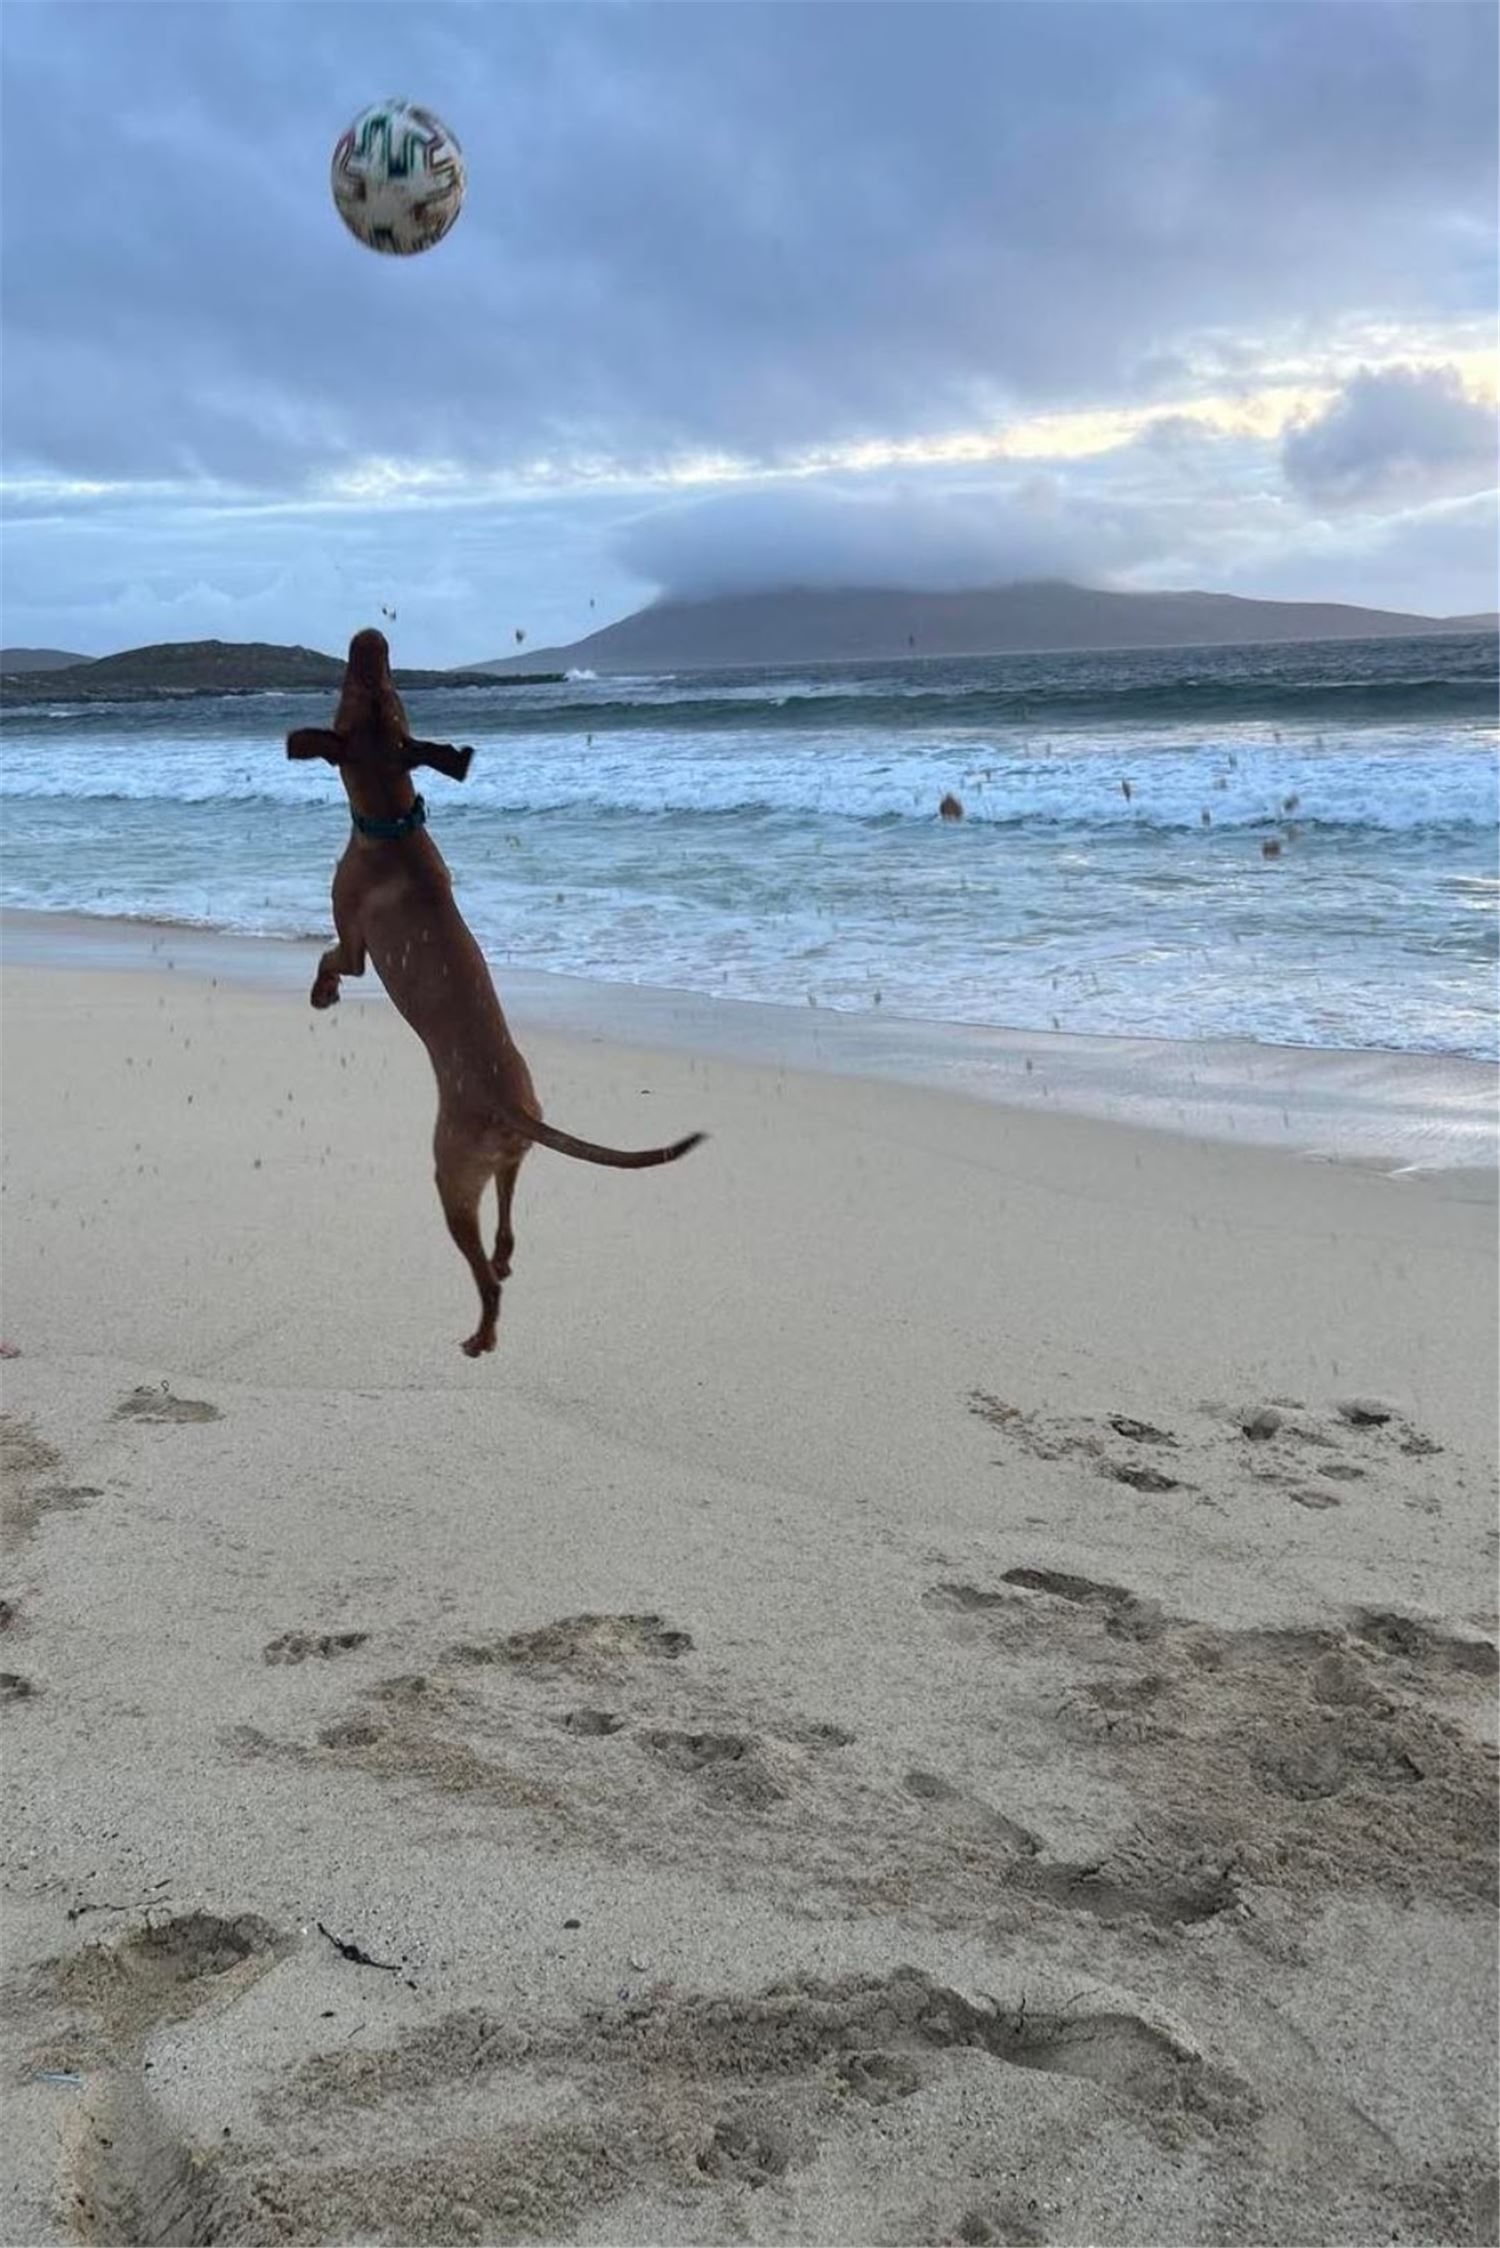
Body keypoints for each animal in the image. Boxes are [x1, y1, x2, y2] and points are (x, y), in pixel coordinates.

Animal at [290, 624, 706, 1348]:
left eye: (360, 694)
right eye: (385, 694)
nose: (371, 636)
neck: (394, 825)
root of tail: (511, 1110)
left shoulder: (355, 941)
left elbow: (329, 957)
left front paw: (323, 993)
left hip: (450, 1175)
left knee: (484, 1274)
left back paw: (481, 1334)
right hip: (508, 1161)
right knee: (508, 1226)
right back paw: (507, 1260)